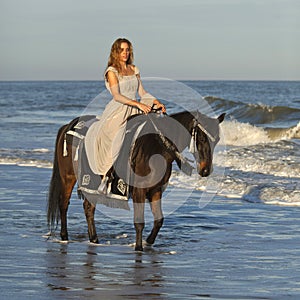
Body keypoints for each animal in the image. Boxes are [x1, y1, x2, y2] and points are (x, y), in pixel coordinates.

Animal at [47, 110, 225, 251]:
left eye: (217, 140)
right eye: (201, 138)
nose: (205, 170)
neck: (156, 148)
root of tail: (68, 126)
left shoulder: (155, 190)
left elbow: (159, 220)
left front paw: (148, 242)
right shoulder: (139, 190)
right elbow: (139, 222)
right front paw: (139, 248)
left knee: (88, 207)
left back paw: (94, 239)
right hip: (68, 177)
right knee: (64, 204)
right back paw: (65, 236)